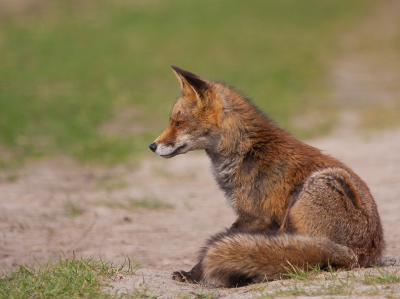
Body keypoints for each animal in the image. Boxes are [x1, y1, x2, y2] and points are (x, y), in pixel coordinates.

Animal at [149, 66, 384, 288]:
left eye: (179, 122)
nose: (152, 146)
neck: (247, 151)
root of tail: (360, 255)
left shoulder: (255, 217)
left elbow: (215, 248)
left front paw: (192, 275)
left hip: (319, 187)